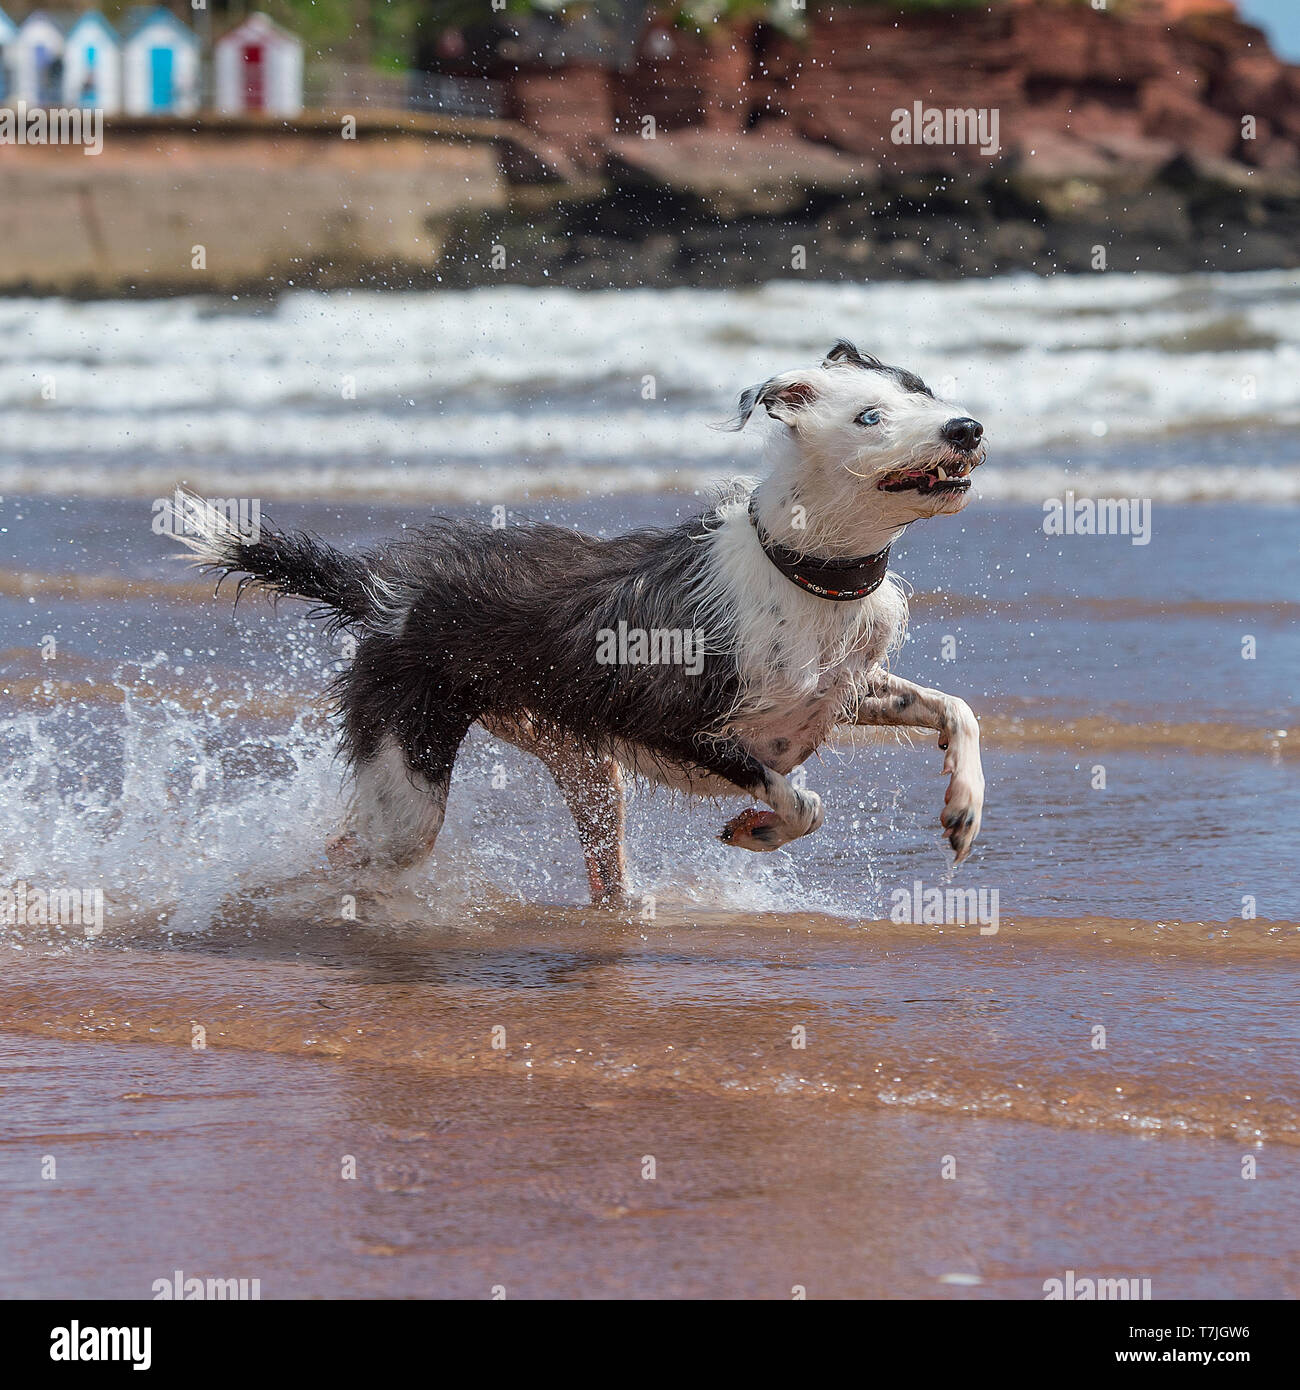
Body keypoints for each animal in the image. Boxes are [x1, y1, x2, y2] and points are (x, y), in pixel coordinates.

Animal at [170, 341, 984, 906]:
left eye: (922, 389)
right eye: (869, 417)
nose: (968, 427)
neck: (804, 571)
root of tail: (385, 592)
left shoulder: (845, 690)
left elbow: (957, 710)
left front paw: (963, 807)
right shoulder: (677, 726)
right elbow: (798, 796)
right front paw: (759, 827)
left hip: (585, 767)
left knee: (601, 873)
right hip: (411, 776)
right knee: (353, 850)